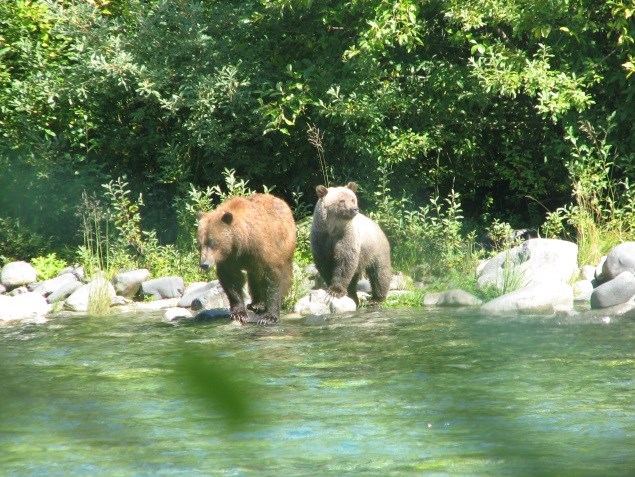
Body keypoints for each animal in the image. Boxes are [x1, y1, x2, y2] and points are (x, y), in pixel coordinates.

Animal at [198, 193, 296, 324]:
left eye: (212, 243)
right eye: (199, 245)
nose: (204, 264)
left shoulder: (261, 248)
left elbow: (272, 276)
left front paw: (269, 317)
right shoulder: (229, 259)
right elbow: (231, 280)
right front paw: (239, 313)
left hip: (285, 243)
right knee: (254, 276)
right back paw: (256, 303)